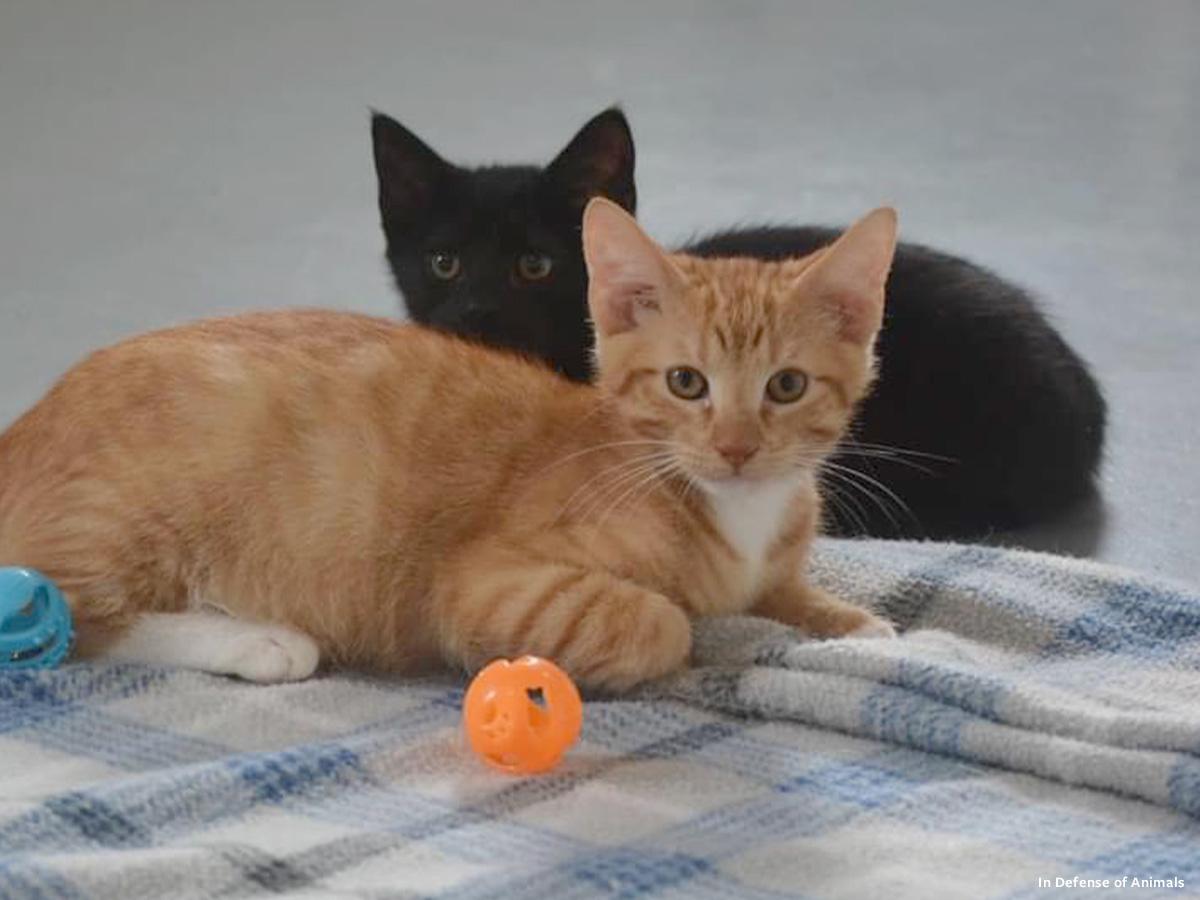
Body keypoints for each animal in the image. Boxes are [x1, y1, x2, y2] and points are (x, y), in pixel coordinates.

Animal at [0, 200, 897, 690]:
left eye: (787, 386)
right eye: (686, 383)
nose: (738, 448)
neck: (735, 512)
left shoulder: (774, 564)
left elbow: (795, 596)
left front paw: (856, 625)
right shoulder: (478, 583)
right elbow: (664, 621)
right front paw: (693, 628)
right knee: (73, 615)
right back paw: (256, 640)